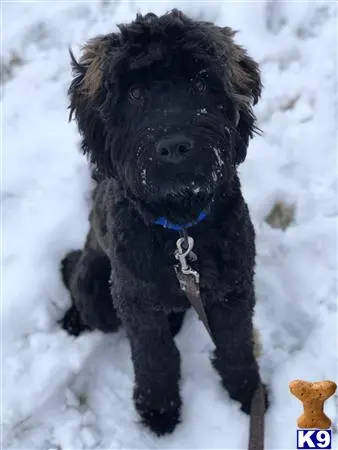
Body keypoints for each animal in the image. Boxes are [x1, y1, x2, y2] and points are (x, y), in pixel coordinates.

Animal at [61, 9, 266, 436]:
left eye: (202, 82)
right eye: (136, 94)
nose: (174, 147)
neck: (180, 230)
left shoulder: (235, 290)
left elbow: (236, 345)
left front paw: (247, 391)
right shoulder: (136, 302)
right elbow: (155, 358)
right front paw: (158, 409)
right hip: (97, 289)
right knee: (74, 273)